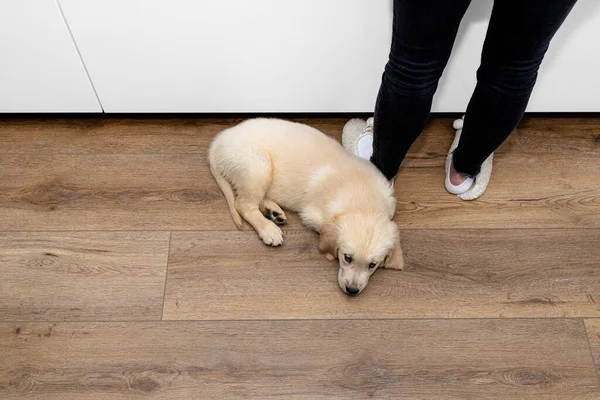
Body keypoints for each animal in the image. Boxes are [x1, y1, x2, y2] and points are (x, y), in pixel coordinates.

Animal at [207, 117, 404, 296]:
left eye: (372, 265)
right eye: (347, 258)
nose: (352, 290)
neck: (364, 201)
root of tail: (219, 141)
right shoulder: (313, 215)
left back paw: (273, 212)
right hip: (258, 165)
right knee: (244, 205)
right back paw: (269, 229)